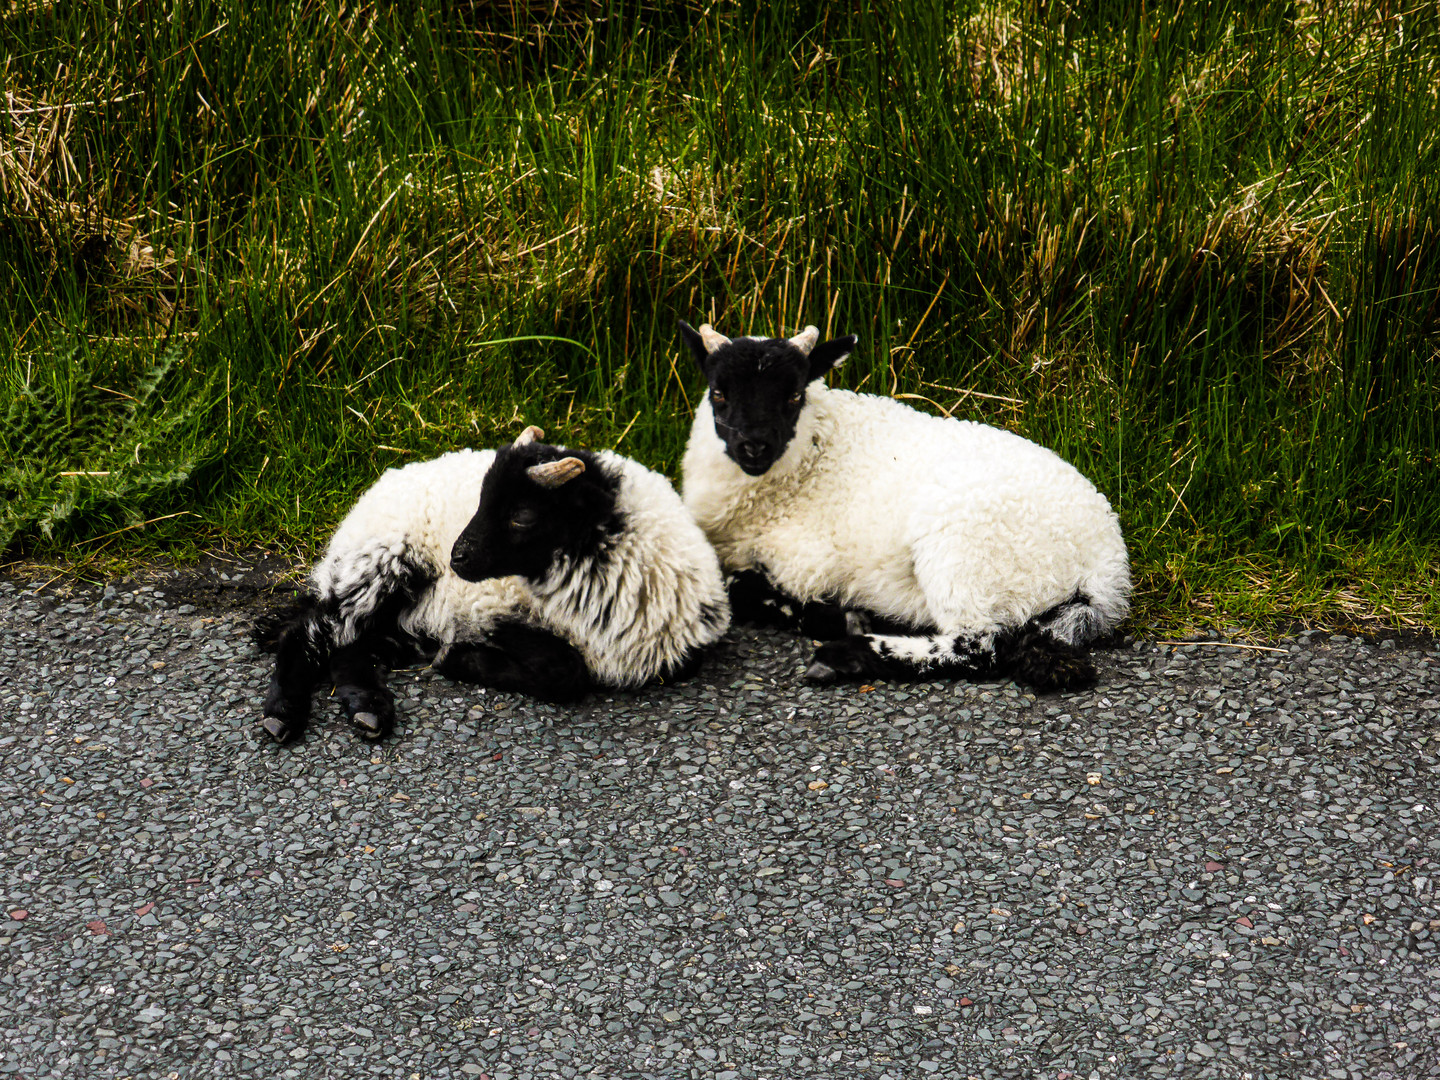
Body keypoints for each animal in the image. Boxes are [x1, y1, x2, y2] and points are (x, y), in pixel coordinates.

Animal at [256, 426, 731, 743]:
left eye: (522, 514)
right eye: (481, 499)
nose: (456, 558)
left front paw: (454, 658)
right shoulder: (485, 611)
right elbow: (565, 671)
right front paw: (458, 658)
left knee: (347, 645)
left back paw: (367, 709)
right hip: (382, 559)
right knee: (309, 632)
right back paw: (283, 714)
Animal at [679, 321, 1128, 694]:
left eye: (793, 395)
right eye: (718, 392)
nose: (753, 447)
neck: (812, 455)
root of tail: (1106, 566)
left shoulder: (803, 565)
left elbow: (738, 589)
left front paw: (835, 618)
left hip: (964, 553)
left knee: (978, 649)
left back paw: (847, 655)